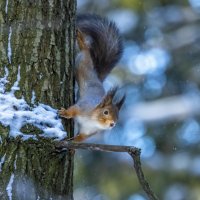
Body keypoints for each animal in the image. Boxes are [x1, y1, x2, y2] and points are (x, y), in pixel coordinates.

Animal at [59, 14, 125, 142]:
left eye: (118, 116)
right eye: (105, 112)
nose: (112, 124)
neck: (93, 121)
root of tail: (97, 77)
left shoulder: (88, 132)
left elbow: (80, 138)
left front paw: (71, 143)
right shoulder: (83, 108)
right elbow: (73, 110)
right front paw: (65, 113)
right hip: (83, 63)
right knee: (86, 50)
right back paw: (81, 40)